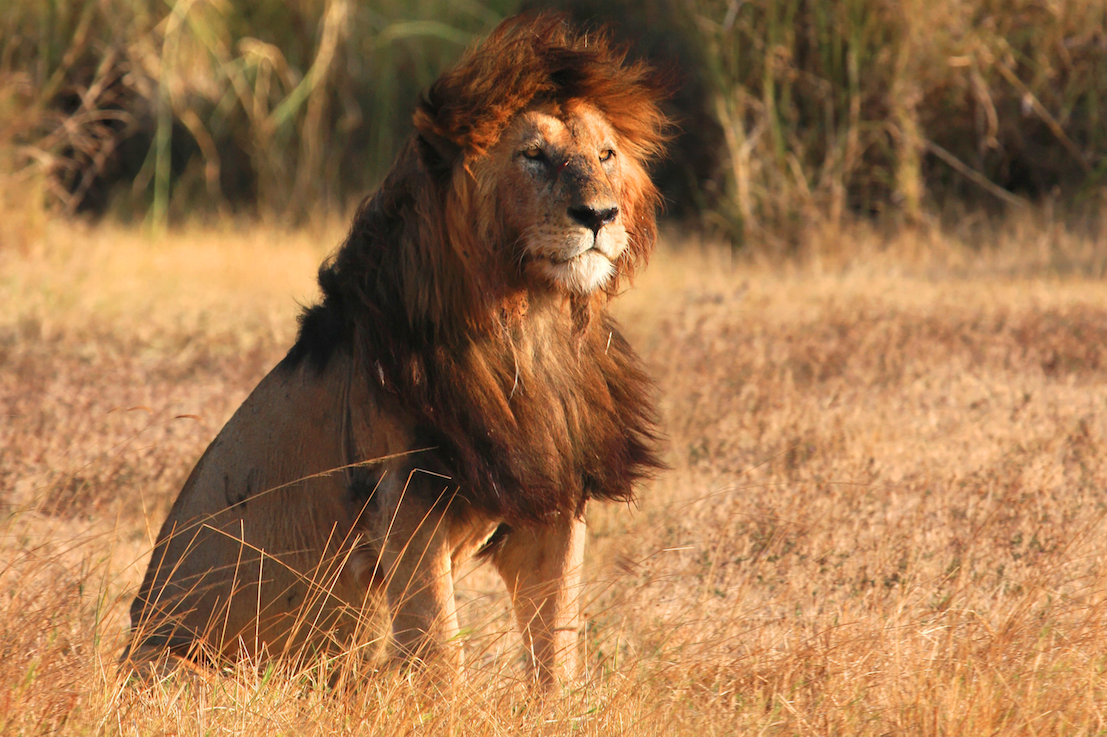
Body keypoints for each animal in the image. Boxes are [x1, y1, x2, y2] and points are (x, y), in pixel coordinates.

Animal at [125, 13, 667, 688]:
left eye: (605, 155)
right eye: (533, 156)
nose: (599, 215)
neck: (529, 323)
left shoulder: (553, 496)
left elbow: (557, 642)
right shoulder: (406, 504)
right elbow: (440, 647)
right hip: (182, 665)